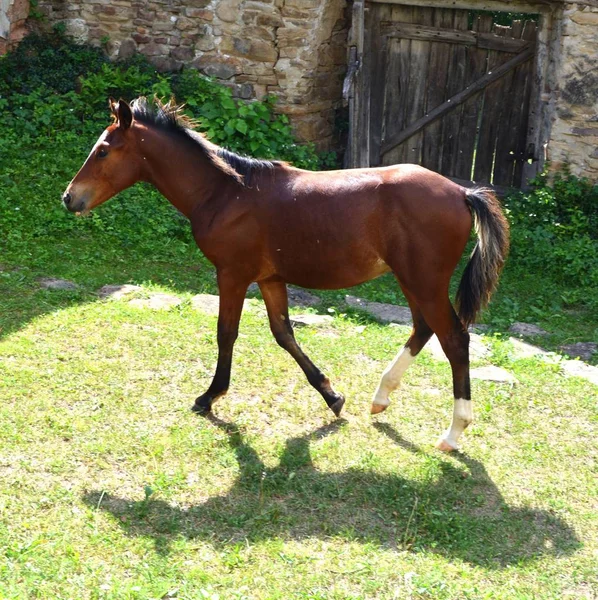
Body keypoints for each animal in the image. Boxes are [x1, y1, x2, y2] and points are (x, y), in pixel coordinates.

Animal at [63, 98, 508, 452]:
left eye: (103, 151)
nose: (69, 198)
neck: (227, 193)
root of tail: (462, 192)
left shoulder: (233, 274)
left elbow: (227, 333)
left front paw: (209, 397)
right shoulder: (269, 279)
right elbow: (283, 334)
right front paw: (332, 396)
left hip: (424, 281)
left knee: (454, 339)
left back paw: (453, 434)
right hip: (411, 280)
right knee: (423, 329)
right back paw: (380, 398)